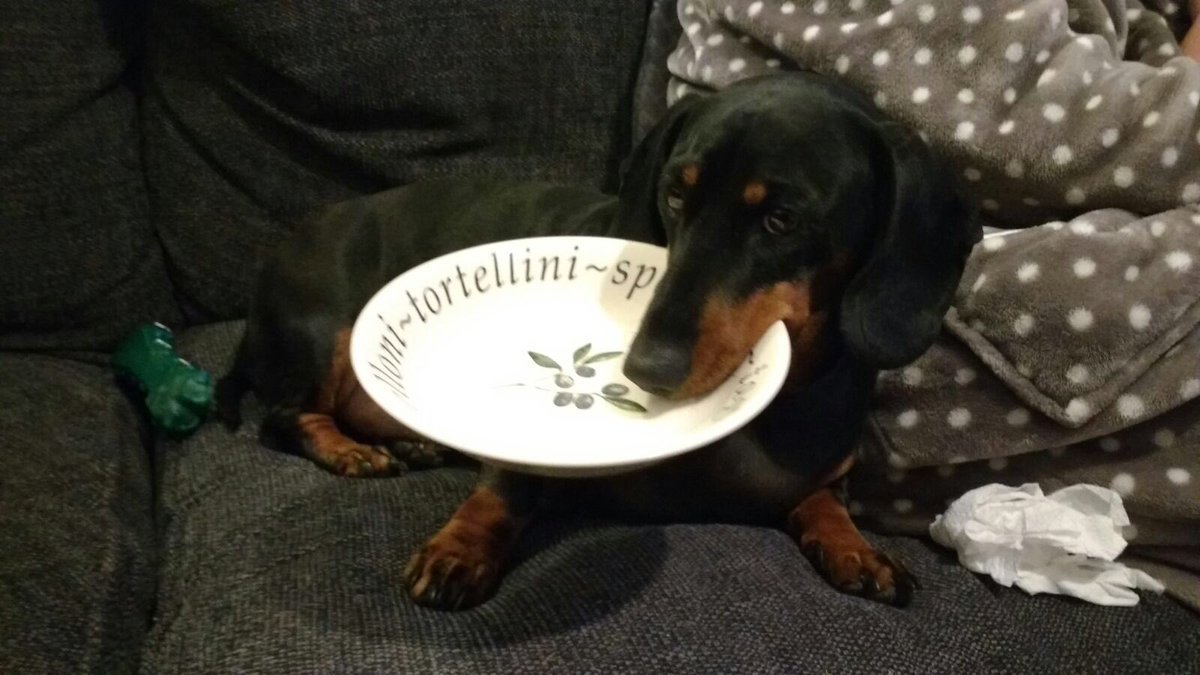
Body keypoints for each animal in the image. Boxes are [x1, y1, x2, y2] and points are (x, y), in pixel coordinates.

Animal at [220, 72, 979, 610]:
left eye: (782, 219)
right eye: (676, 195)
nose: (647, 369)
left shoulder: (821, 473)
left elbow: (822, 501)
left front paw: (858, 549)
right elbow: (503, 489)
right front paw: (458, 548)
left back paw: (411, 444)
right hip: (325, 332)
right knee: (284, 416)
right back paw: (352, 451)